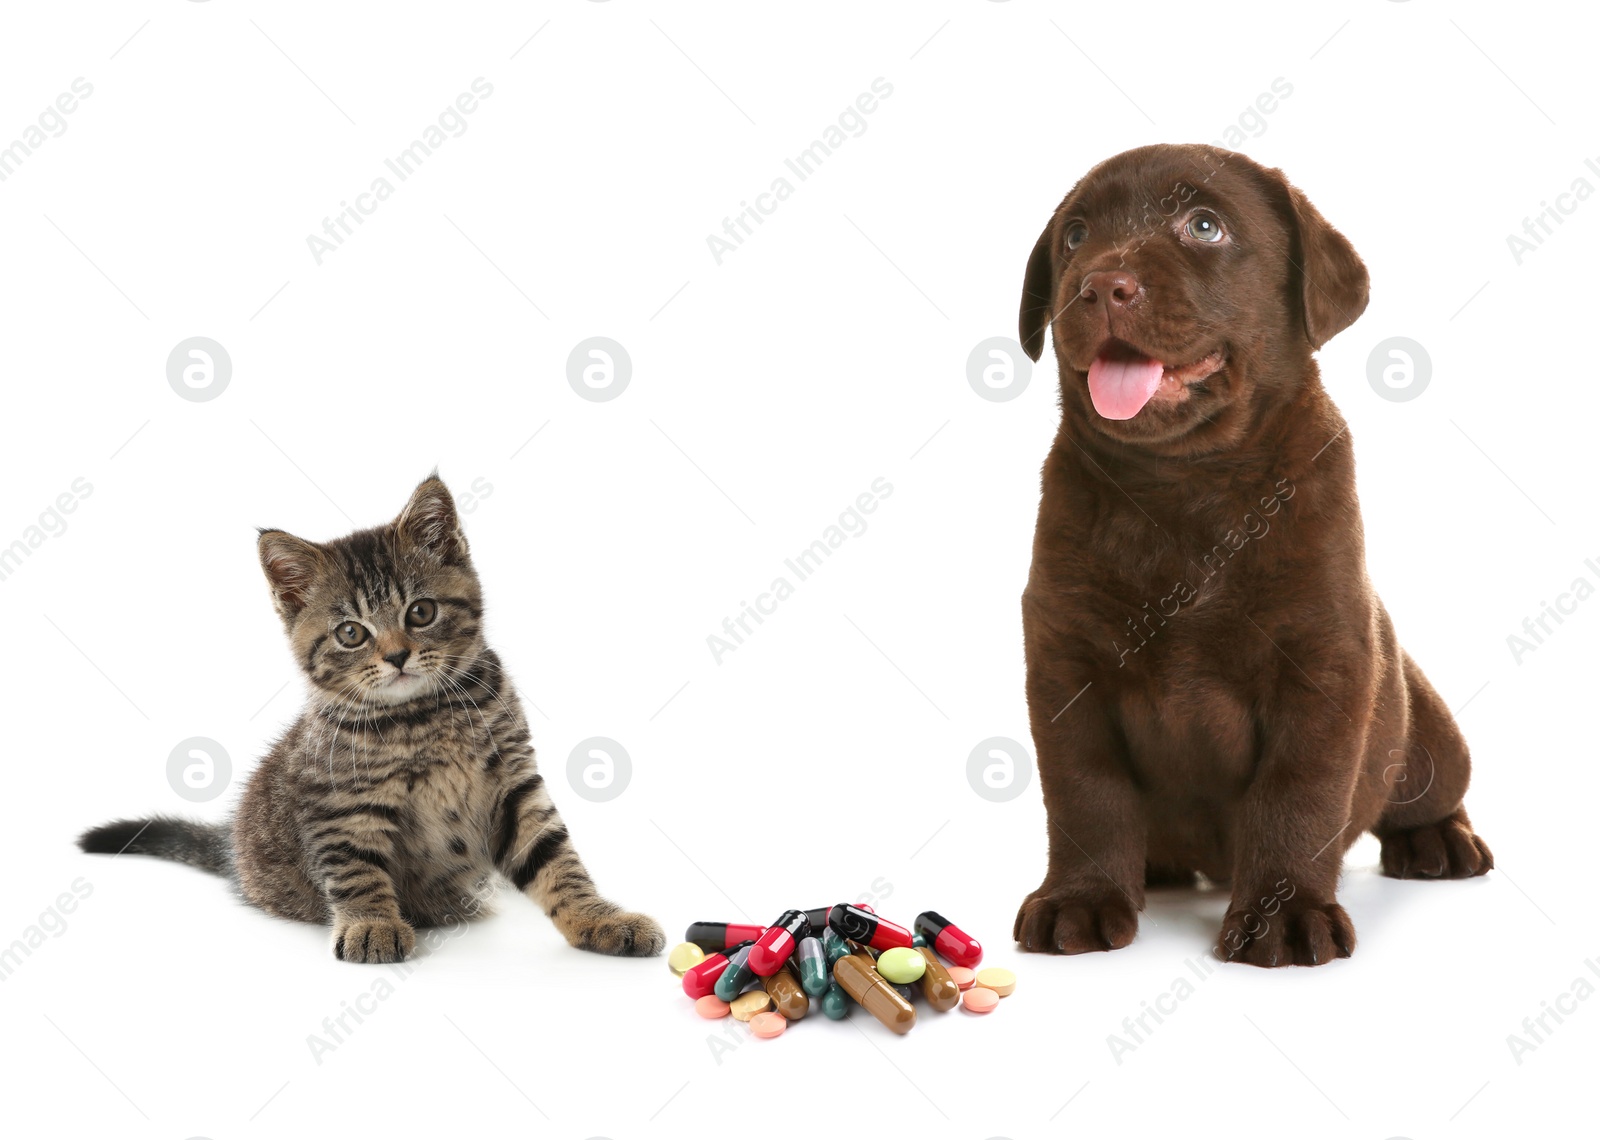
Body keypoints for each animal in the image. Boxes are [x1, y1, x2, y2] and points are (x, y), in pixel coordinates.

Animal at [81, 470, 662, 960]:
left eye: (421, 612)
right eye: (351, 633)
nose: (398, 655)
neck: (426, 717)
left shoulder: (514, 786)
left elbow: (557, 862)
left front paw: (601, 919)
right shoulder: (340, 806)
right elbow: (357, 872)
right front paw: (371, 926)